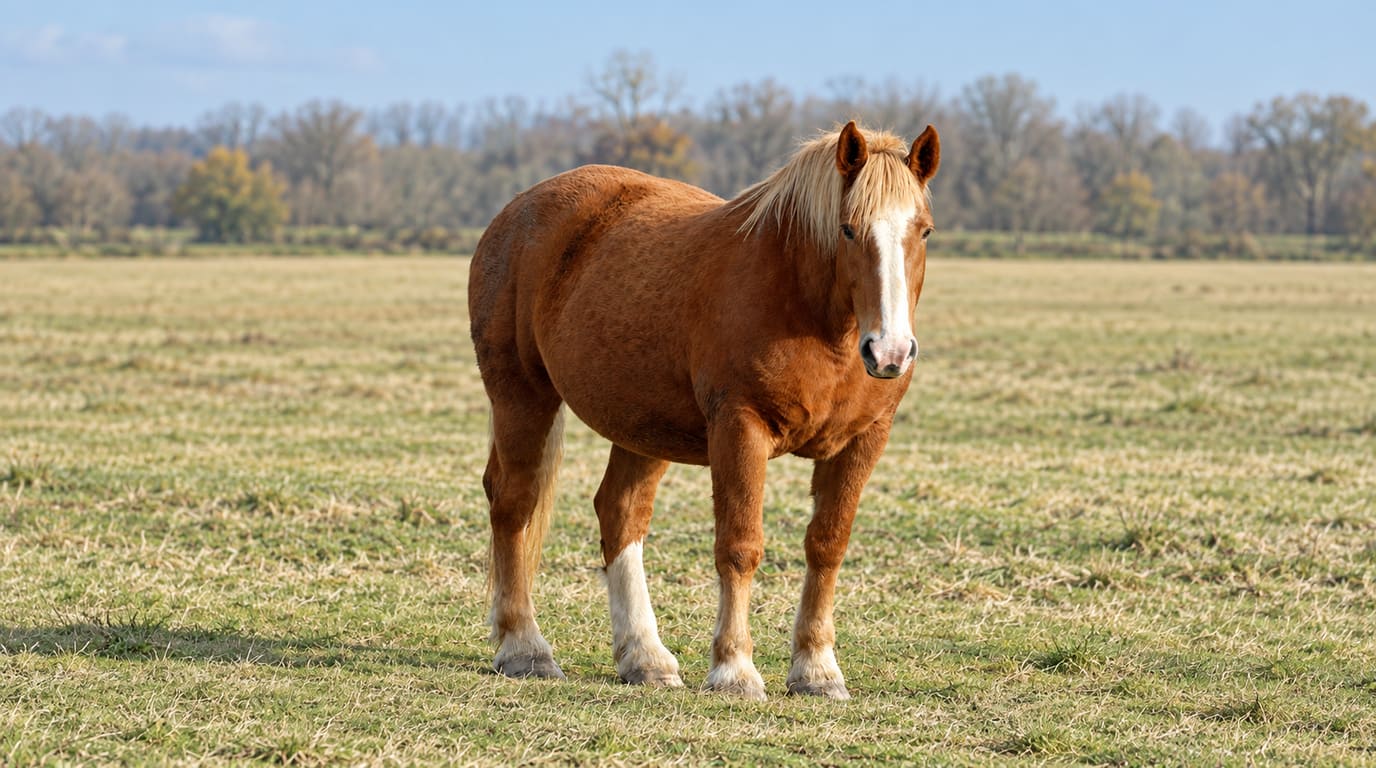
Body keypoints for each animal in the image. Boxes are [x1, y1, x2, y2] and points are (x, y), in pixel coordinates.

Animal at [469, 120, 939, 700]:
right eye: (848, 230)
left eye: (924, 231)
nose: (889, 352)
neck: (809, 310)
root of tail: (516, 211)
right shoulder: (740, 428)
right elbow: (740, 545)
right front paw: (735, 669)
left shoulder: (864, 441)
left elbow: (827, 545)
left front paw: (816, 668)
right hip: (521, 396)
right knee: (514, 502)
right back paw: (524, 648)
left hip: (641, 427)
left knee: (620, 513)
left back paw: (644, 657)